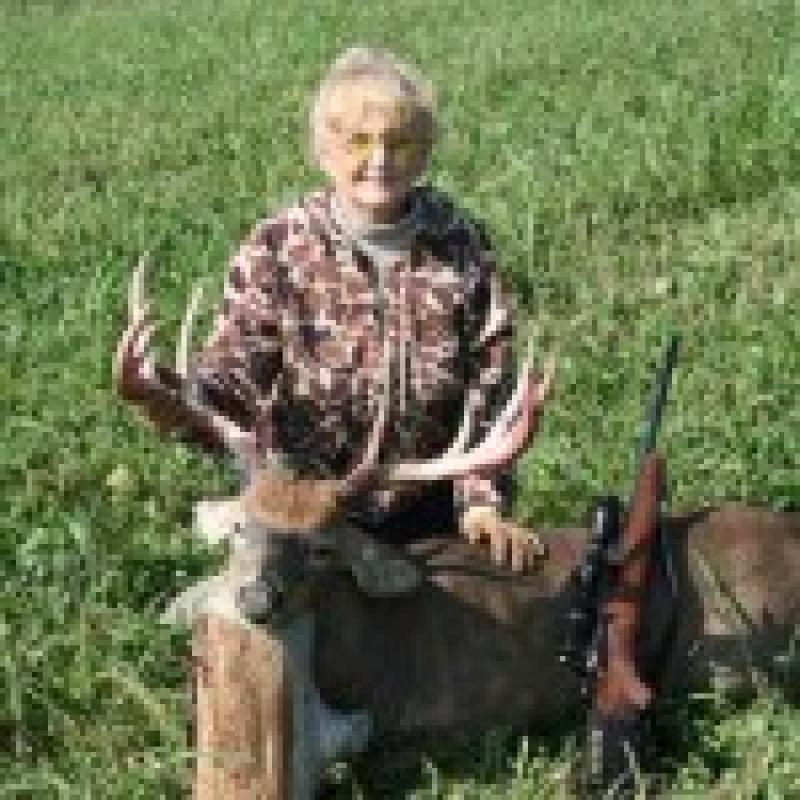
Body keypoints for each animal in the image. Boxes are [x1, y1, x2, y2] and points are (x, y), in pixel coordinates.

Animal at [118, 258, 800, 799]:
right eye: (239, 527)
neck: (367, 659)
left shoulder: (454, 725)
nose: (256, 597)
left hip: (739, 655)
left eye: (323, 546)